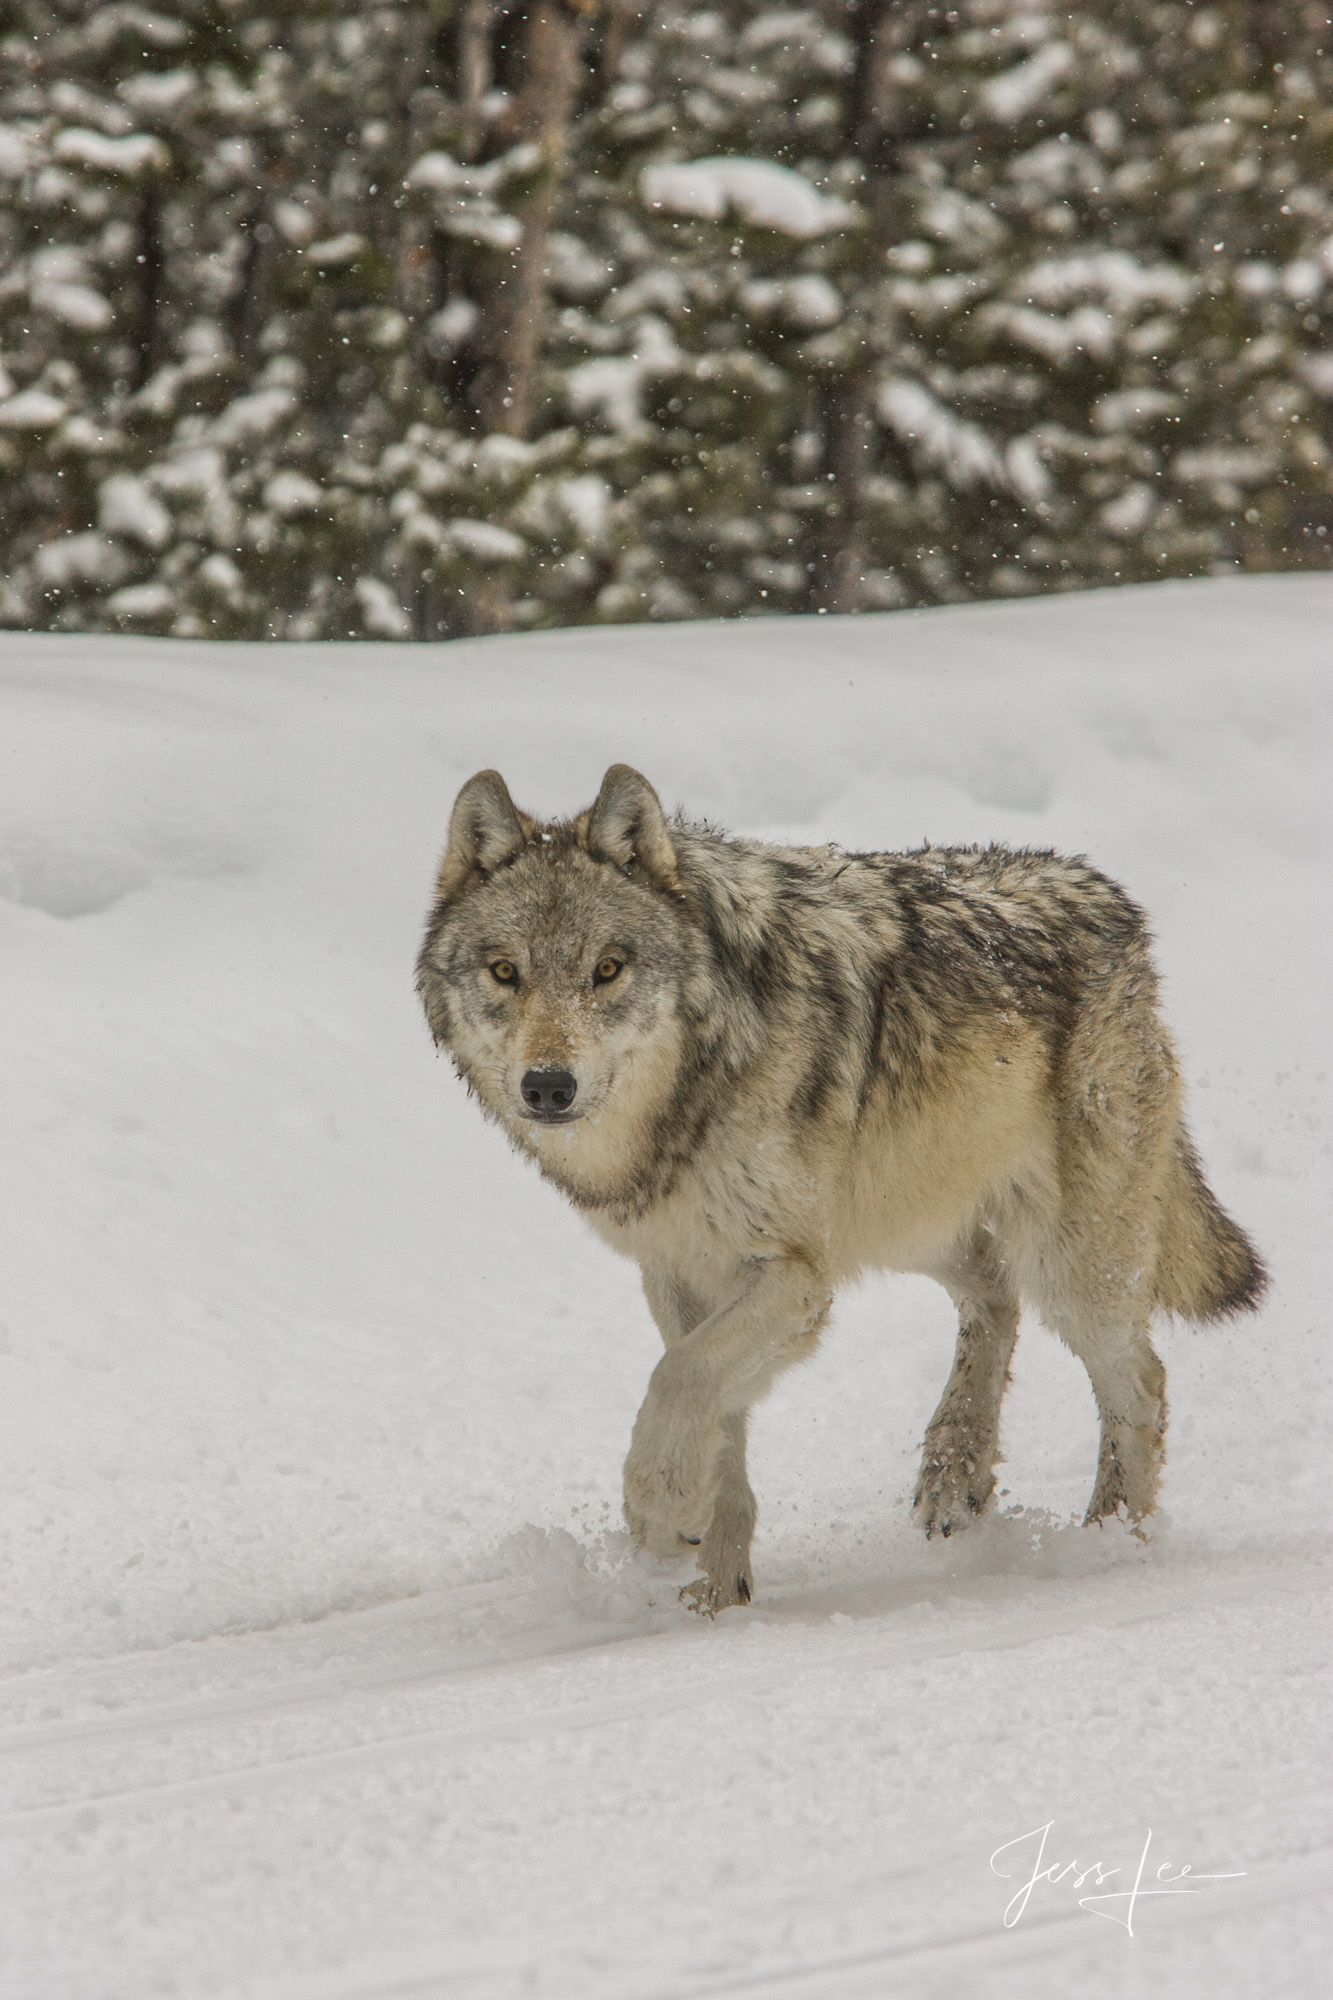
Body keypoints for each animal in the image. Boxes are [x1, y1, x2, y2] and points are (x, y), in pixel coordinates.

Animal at [418, 760, 1264, 1608]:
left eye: (606, 970)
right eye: (505, 972)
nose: (546, 1087)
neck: (687, 1100)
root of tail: (1109, 898)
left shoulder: (789, 1274)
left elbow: (678, 1379)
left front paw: (661, 1513)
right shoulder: (680, 1273)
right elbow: (715, 1418)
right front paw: (717, 1586)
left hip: (1067, 1265)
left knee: (1140, 1380)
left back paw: (1110, 1542)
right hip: (906, 1224)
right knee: (993, 1292)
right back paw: (954, 1473)